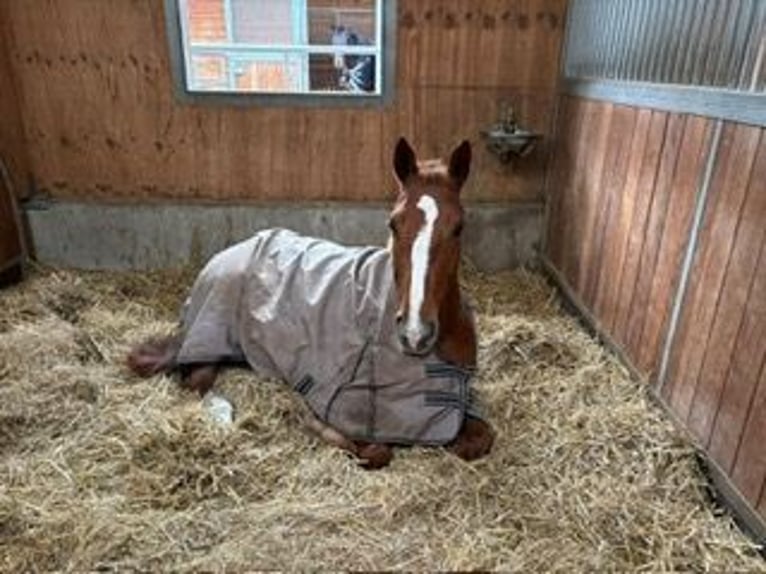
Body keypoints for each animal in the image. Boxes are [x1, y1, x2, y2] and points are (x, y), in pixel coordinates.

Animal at [127, 138, 494, 469]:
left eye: (459, 227)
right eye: (393, 222)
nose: (415, 334)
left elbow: (480, 439)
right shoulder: (346, 402)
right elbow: (376, 451)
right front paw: (314, 423)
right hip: (208, 338)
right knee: (195, 381)